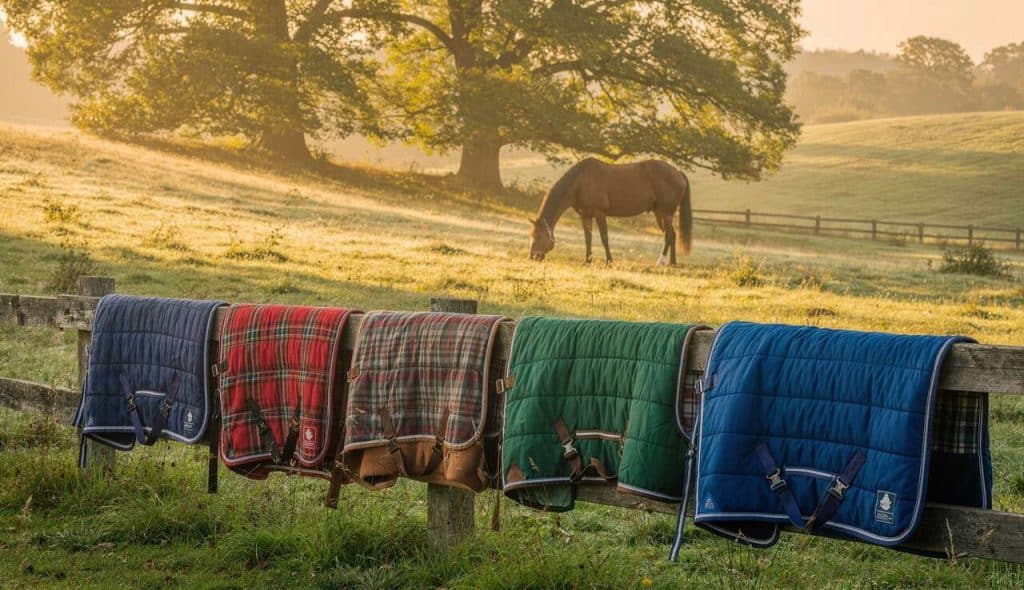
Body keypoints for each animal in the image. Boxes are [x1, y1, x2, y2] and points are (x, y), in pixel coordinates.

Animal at [529, 158, 693, 265]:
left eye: (539, 236)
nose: (533, 257)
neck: (580, 182)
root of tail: (678, 172)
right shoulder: (585, 216)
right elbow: (588, 238)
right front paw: (587, 260)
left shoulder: (600, 213)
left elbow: (604, 238)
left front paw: (609, 261)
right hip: (659, 213)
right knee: (672, 235)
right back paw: (672, 263)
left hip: (666, 213)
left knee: (669, 236)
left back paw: (660, 262)